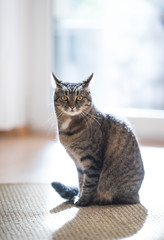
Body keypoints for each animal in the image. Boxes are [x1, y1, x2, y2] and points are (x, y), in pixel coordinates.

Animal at [51, 73, 144, 206]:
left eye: (79, 97)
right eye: (64, 98)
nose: (72, 106)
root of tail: (137, 195)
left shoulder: (91, 159)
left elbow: (89, 183)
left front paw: (83, 200)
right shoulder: (78, 162)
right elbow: (81, 181)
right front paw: (79, 195)